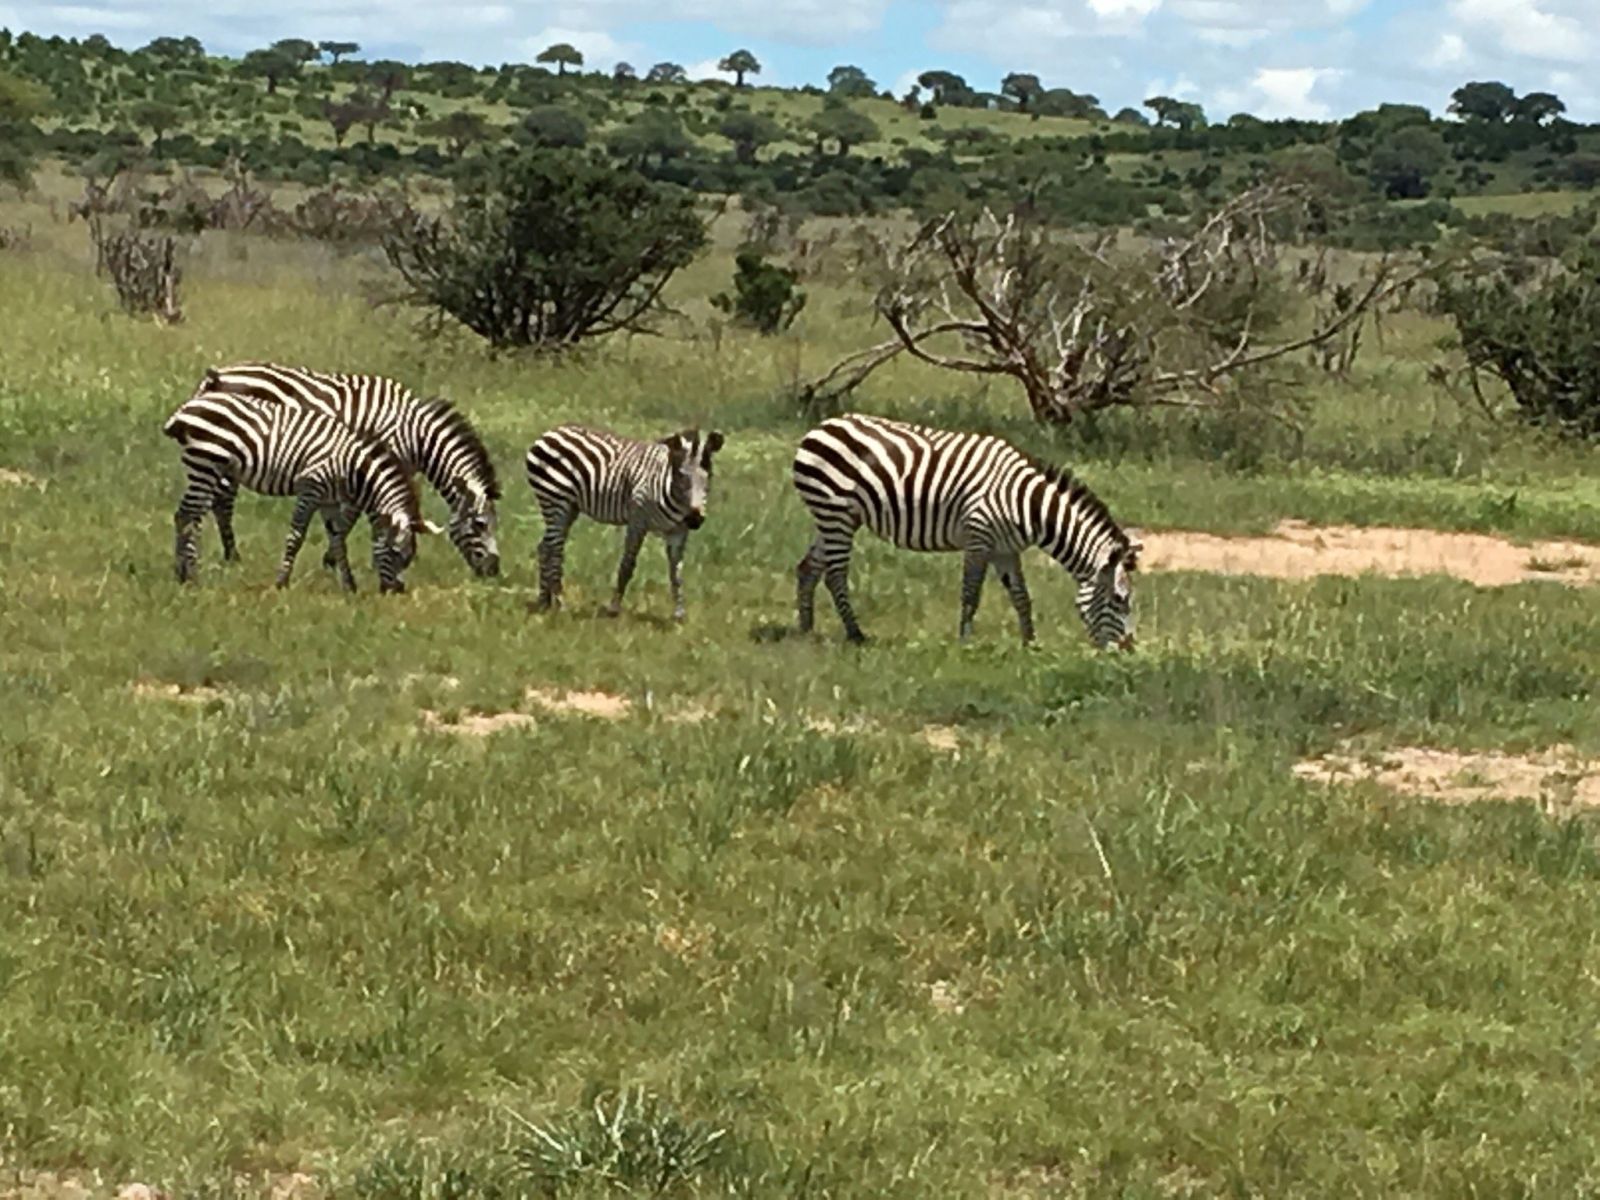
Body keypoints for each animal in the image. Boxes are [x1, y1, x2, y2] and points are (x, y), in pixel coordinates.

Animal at [163, 389, 436, 594]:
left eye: (409, 557)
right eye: (395, 553)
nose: (395, 591)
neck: (351, 465)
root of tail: (185, 409)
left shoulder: (329, 500)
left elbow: (338, 539)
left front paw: (349, 586)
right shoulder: (310, 488)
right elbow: (296, 536)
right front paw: (281, 582)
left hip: (208, 469)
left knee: (187, 515)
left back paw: (181, 573)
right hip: (205, 464)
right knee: (187, 515)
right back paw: (191, 577)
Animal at [190, 363, 501, 578]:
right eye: (480, 525)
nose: (493, 572)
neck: (414, 435)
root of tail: (217, 377)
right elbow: (355, 515)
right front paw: (335, 559)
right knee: (223, 501)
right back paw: (233, 555)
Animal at [525, 424, 725, 621]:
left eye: (709, 476)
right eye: (681, 476)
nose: (695, 519)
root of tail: (551, 432)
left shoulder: (679, 531)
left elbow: (676, 573)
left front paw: (679, 614)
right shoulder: (638, 521)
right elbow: (627, 565)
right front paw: (613, 609)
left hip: (569, 508)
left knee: (545, 547)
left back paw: (544, 602)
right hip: (556, 501)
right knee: (555, 550)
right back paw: (560, 603)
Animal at [791, 413, 1140, 648]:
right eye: (1120, 599)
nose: (1127, 649)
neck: (1027, 504)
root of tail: (821, 426)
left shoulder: (1005, 549)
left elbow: (1021, 596)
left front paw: (1030, 644)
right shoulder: (978, 538)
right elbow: (971, 593)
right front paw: (965, 642)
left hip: (837, 518)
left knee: (809, 567)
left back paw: (806, 631)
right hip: (836, 513)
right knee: (835, 574)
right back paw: (855, 634)